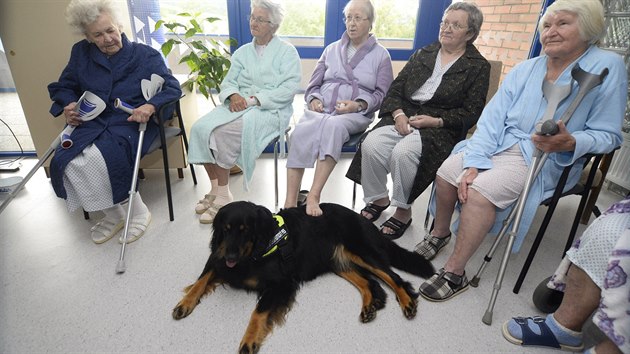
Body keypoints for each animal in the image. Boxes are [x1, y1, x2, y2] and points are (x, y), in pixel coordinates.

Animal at [175, 201, 436, 352]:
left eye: (245, 230)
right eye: (226, 229)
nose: (230, 254)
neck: (256, 250)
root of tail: (362, 218)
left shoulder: (281, 284)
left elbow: (258, 313)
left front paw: (249, 340)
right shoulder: (219, 258)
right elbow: (201, 280)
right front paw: (185, 303)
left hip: (362, 251)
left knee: (394, 278)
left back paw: (407, 301)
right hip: (337, 261)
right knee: (369, 283)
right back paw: (369, 305)